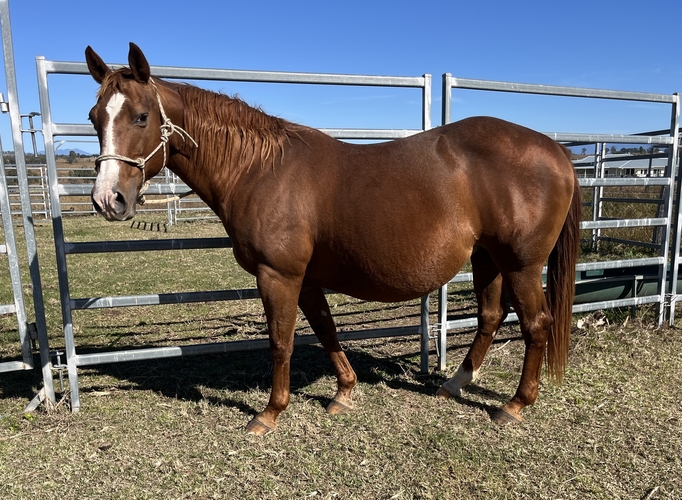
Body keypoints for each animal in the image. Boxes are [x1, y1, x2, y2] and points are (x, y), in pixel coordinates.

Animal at [85, 43, 581, 435]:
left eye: (141, 116)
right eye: (94, 118)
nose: (108, 199)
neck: (259, 169)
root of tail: (557, 150)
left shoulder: (278, 275)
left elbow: (281, 342)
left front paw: (269, 413)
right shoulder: (304, 278)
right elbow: (325, 329)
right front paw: (344, 392)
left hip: (521, 264)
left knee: (536, 324)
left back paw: (514, 405)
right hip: (487, 258)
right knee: (490, 317)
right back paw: (454, 384)